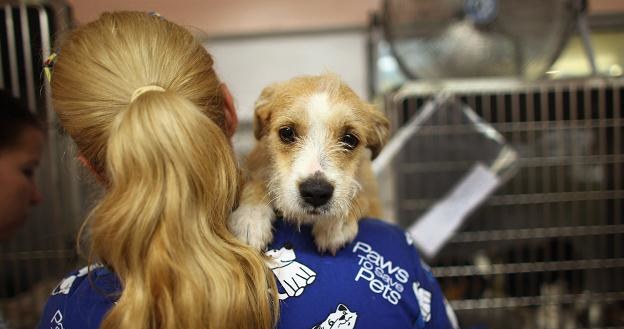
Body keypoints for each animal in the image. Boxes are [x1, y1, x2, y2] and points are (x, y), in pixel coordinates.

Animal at [229, 74, 386, 254]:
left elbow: (361, 193)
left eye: (350, 139)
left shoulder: (371, 193)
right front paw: (250, 217)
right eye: (286, 132)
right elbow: (255, 183)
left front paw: (336, 221)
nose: (316, 192)